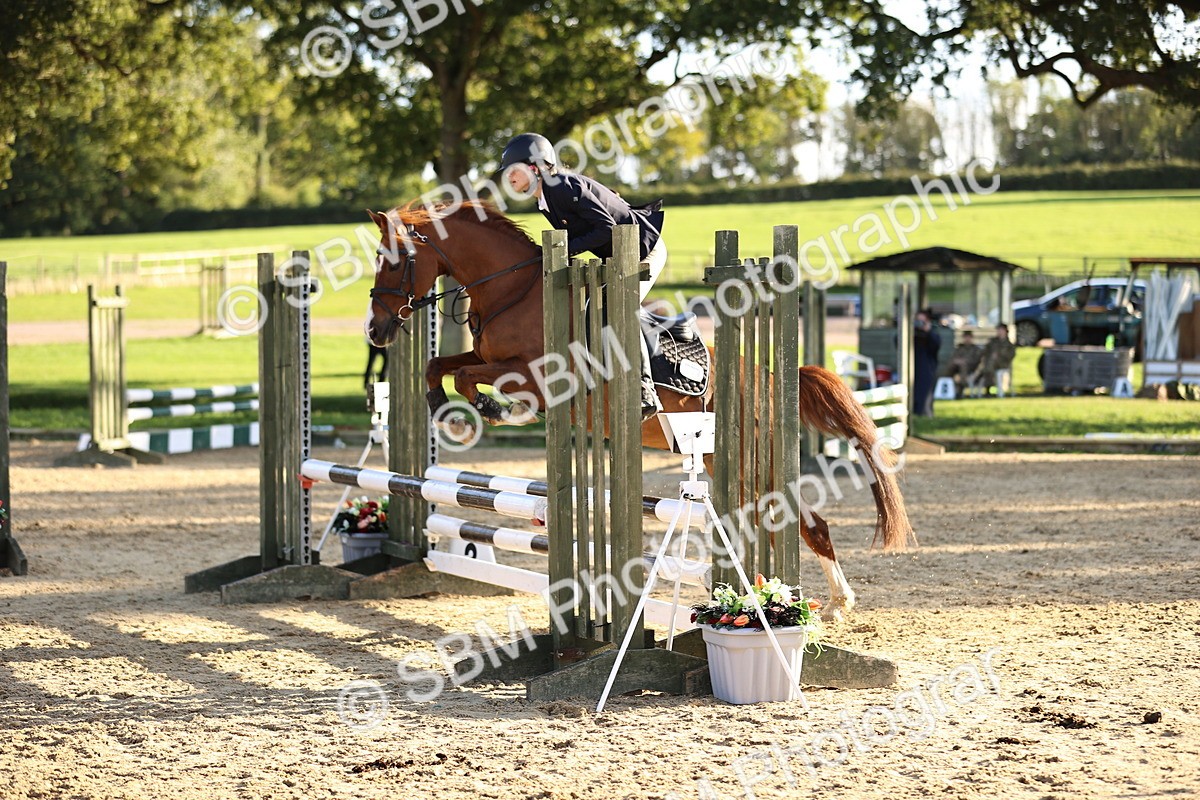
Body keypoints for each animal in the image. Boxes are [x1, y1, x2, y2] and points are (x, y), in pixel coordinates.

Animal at [364, 201, 914, 620]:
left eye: (395, 259)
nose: (376, 331)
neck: (514, 292)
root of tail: (771, 377)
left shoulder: (538, 377)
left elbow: (469, 378)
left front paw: (484, 411)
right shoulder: (491, 356)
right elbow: (440, 365)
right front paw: (443, 407)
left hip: (754, 461)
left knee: (809, 523)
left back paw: (829, 604)